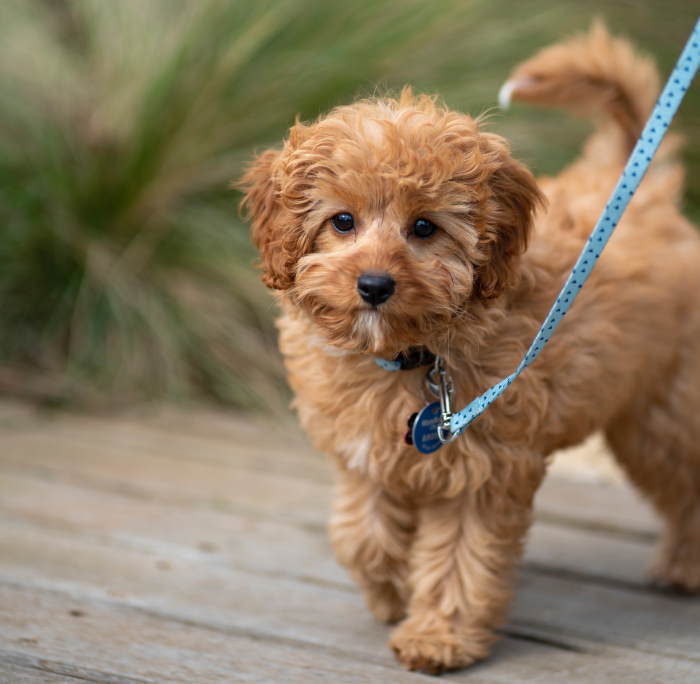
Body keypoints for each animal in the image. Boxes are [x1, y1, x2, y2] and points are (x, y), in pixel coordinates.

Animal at [241, 24, 700, 672]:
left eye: (424, 227)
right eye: (342, 221)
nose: (374, 285)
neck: (410, 355)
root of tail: (643, 192)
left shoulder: (483, 470)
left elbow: (460, 559)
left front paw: (439, 636)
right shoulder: (364, 456)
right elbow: (362, 538)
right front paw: (392, 591)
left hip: (659, 414)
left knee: (686, 483)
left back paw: (684, 565)